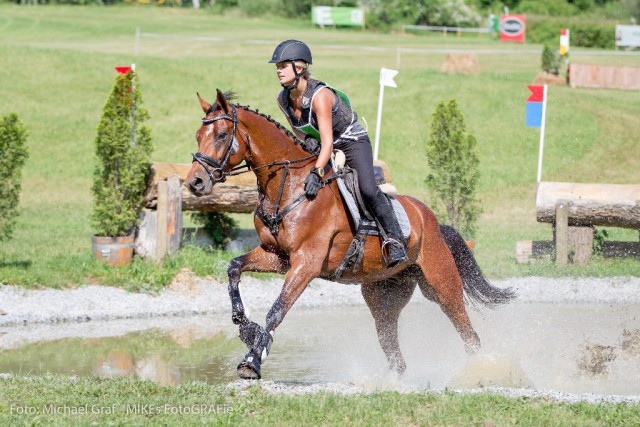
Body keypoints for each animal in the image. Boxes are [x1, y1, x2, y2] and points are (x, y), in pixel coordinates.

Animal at [185, 90, 516, 382]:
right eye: (198, 135)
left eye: (221, 135)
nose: (195, 182)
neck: (288, 185)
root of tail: (432, 220)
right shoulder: (276, 256)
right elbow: (234, 267)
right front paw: (245, 327)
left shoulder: (306, 263)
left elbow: (278, 309)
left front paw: (252, 360)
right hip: (383, 296)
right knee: (392, 347)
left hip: (441, 283)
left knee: (467, 331)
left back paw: (480, 373)